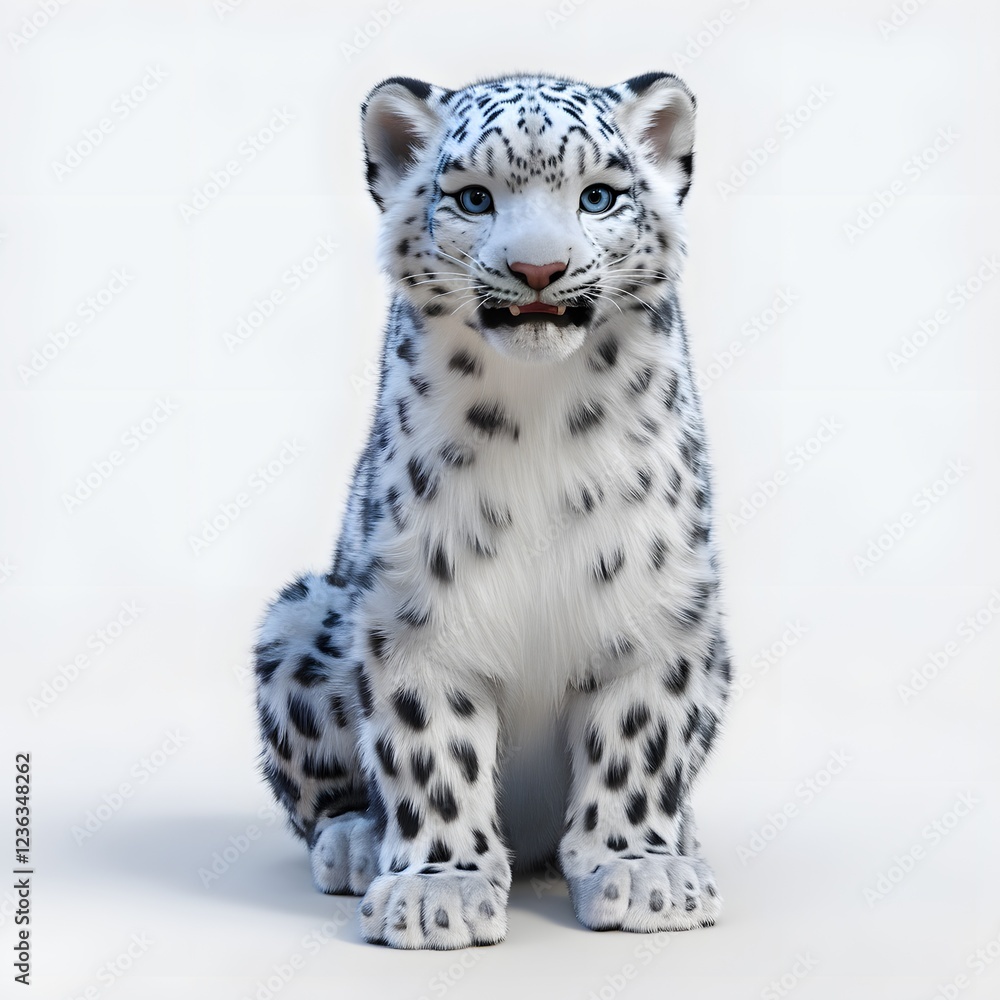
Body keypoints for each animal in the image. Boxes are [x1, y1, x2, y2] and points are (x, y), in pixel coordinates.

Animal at [253, 70, 732, 950]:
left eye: (599, 195)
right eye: (474, 197)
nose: (539, 269)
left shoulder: (661, 604)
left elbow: (639, 737)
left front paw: (644, 873)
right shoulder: (414, 607)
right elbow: (430, 749)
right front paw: (436, 891)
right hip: (300, 619)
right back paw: (355, 842)